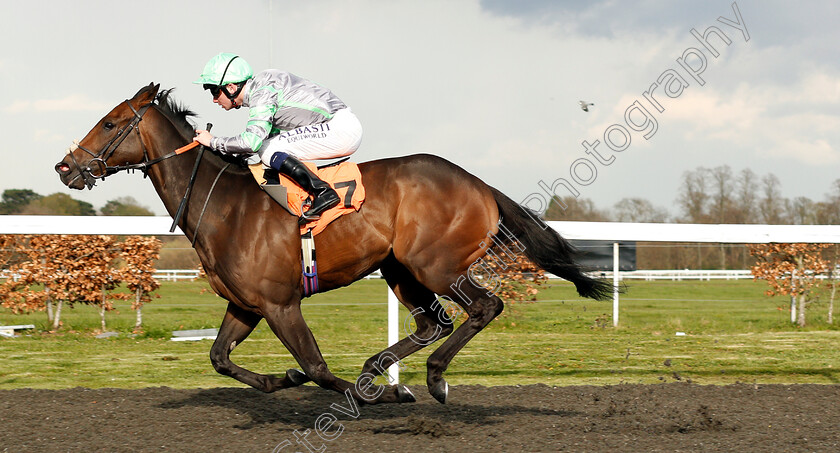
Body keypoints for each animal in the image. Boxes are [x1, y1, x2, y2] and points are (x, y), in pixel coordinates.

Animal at [57, 83, 612, 404]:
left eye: (109, 122)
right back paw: (378, 370)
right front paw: (282, 381)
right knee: (432, 323)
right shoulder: (247, 304)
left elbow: (318, 367)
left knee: (483, 307)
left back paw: (431, 379)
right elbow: (219, 358)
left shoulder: (280, 303)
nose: (65, 167)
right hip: (398, 269)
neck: (223, 206)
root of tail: (479, 184)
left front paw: (377, 395)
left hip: (434, 264)